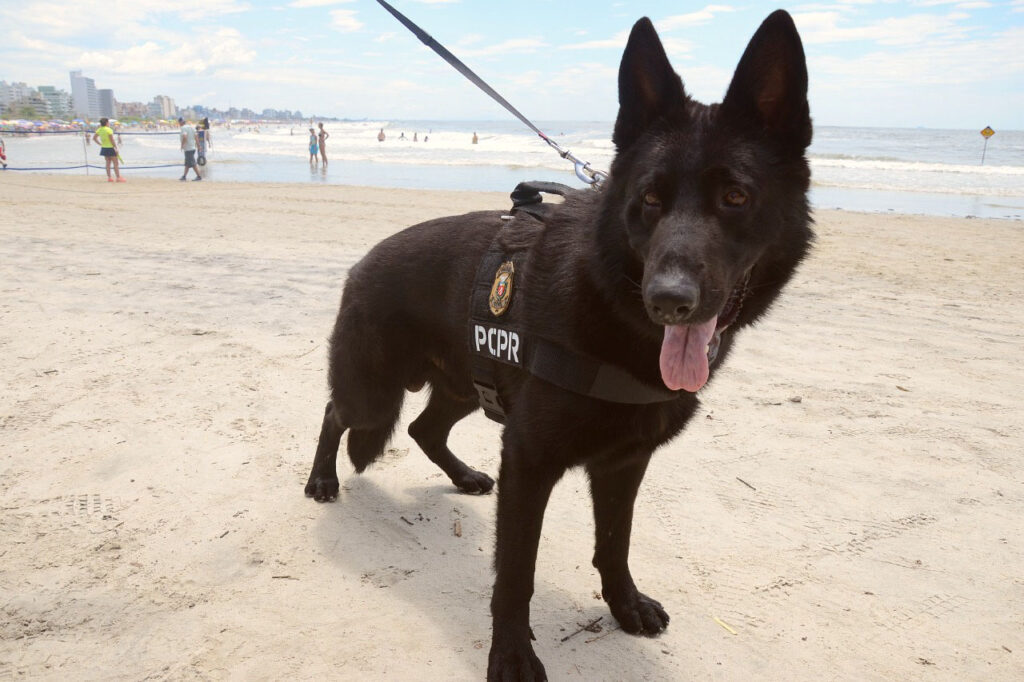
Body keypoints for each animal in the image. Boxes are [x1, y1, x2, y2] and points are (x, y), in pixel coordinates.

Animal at [301, 11, 806, 679]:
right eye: (649, 199)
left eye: (736, 197)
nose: (669, 300)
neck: (615, 307)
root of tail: (361, 262)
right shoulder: (529, 462)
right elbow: (517, 572)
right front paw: (512, 653)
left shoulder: (623, 463)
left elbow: (614, 543)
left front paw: (623, 605)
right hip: (374, 393)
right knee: (338, 412)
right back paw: (322, 478)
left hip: (467, 388)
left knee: (423, 429)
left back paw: (462, 476)